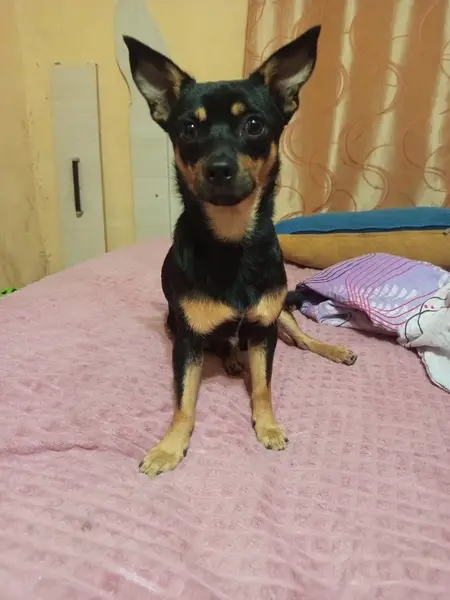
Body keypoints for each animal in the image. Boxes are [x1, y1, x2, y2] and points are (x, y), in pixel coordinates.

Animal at [124, 26, 356, 478]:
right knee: (227, 344)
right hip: (174, 321)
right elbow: (184, 401)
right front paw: (169, 447)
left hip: (281, 313)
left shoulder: (265, 327)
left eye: (254, 125)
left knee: (303, 339)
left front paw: (267, 426)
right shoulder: (186, 341)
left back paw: (333, 349)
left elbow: (263, 386)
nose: (219, 169)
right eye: (188, 130)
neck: (231, 239)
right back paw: (232, 359)